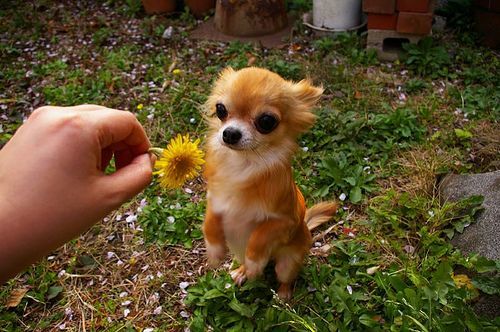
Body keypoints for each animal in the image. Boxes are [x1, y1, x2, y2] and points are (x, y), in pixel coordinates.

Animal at [201, 67, 338, 298]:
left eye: (266, 121)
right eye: (221, 110)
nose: (230, 133)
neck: (241, 165)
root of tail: (306, 229)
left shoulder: (284, 221)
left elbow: (260, 236)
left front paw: (254, 263)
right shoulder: (216, 201)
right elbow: (209, 222)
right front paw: (214, 250)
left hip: (287, 262)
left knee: (285, 277)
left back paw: (282, 295)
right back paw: (241, 271)